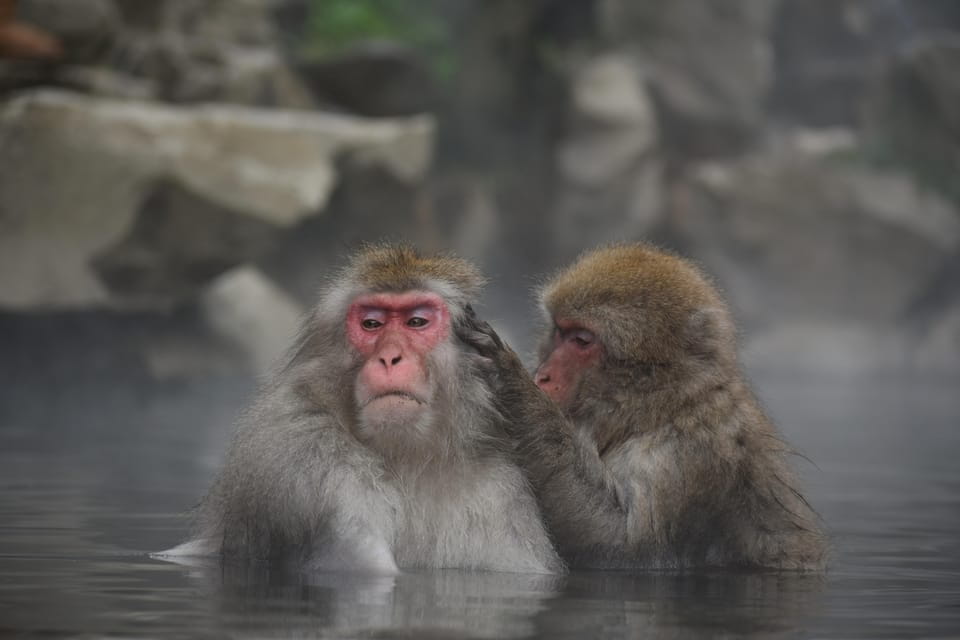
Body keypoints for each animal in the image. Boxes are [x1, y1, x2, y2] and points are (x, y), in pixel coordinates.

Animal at [161, 244, 564, 575]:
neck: (408, 458)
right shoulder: (303, 455)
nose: (390, 357)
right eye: (372, 324)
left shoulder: (499, 493)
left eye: (417, 321)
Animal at [459, 243, 826, 570]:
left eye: (582, 340)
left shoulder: (688, 455)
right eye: (560, 332)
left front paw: (514, 385)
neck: (661, 406)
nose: (542, 376)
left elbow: (624, 547)